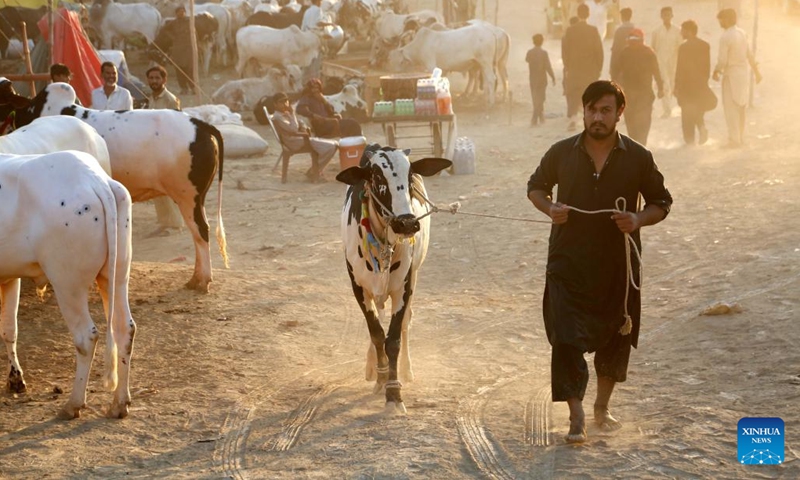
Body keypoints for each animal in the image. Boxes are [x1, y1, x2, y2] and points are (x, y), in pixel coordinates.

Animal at [0, 149, 135, 419]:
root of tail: (96, 179)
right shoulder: (9, 277)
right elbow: (9, 329)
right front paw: (15, 379)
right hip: (116, 276)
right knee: (124, 328)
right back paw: (119, 403)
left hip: (67, 283)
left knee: (86, 337)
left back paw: (73, 404)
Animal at [337, 144, 451, 413]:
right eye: (378, 177)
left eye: (409, 177)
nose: (406, 223)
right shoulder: (358, 288)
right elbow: (377, 333)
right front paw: (380, 377)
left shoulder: (404, 288)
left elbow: (393, 340)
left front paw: (394, 392)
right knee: (376, 325)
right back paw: (372, 367)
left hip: (415, 275)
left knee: (407, 320)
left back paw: (405, 370)